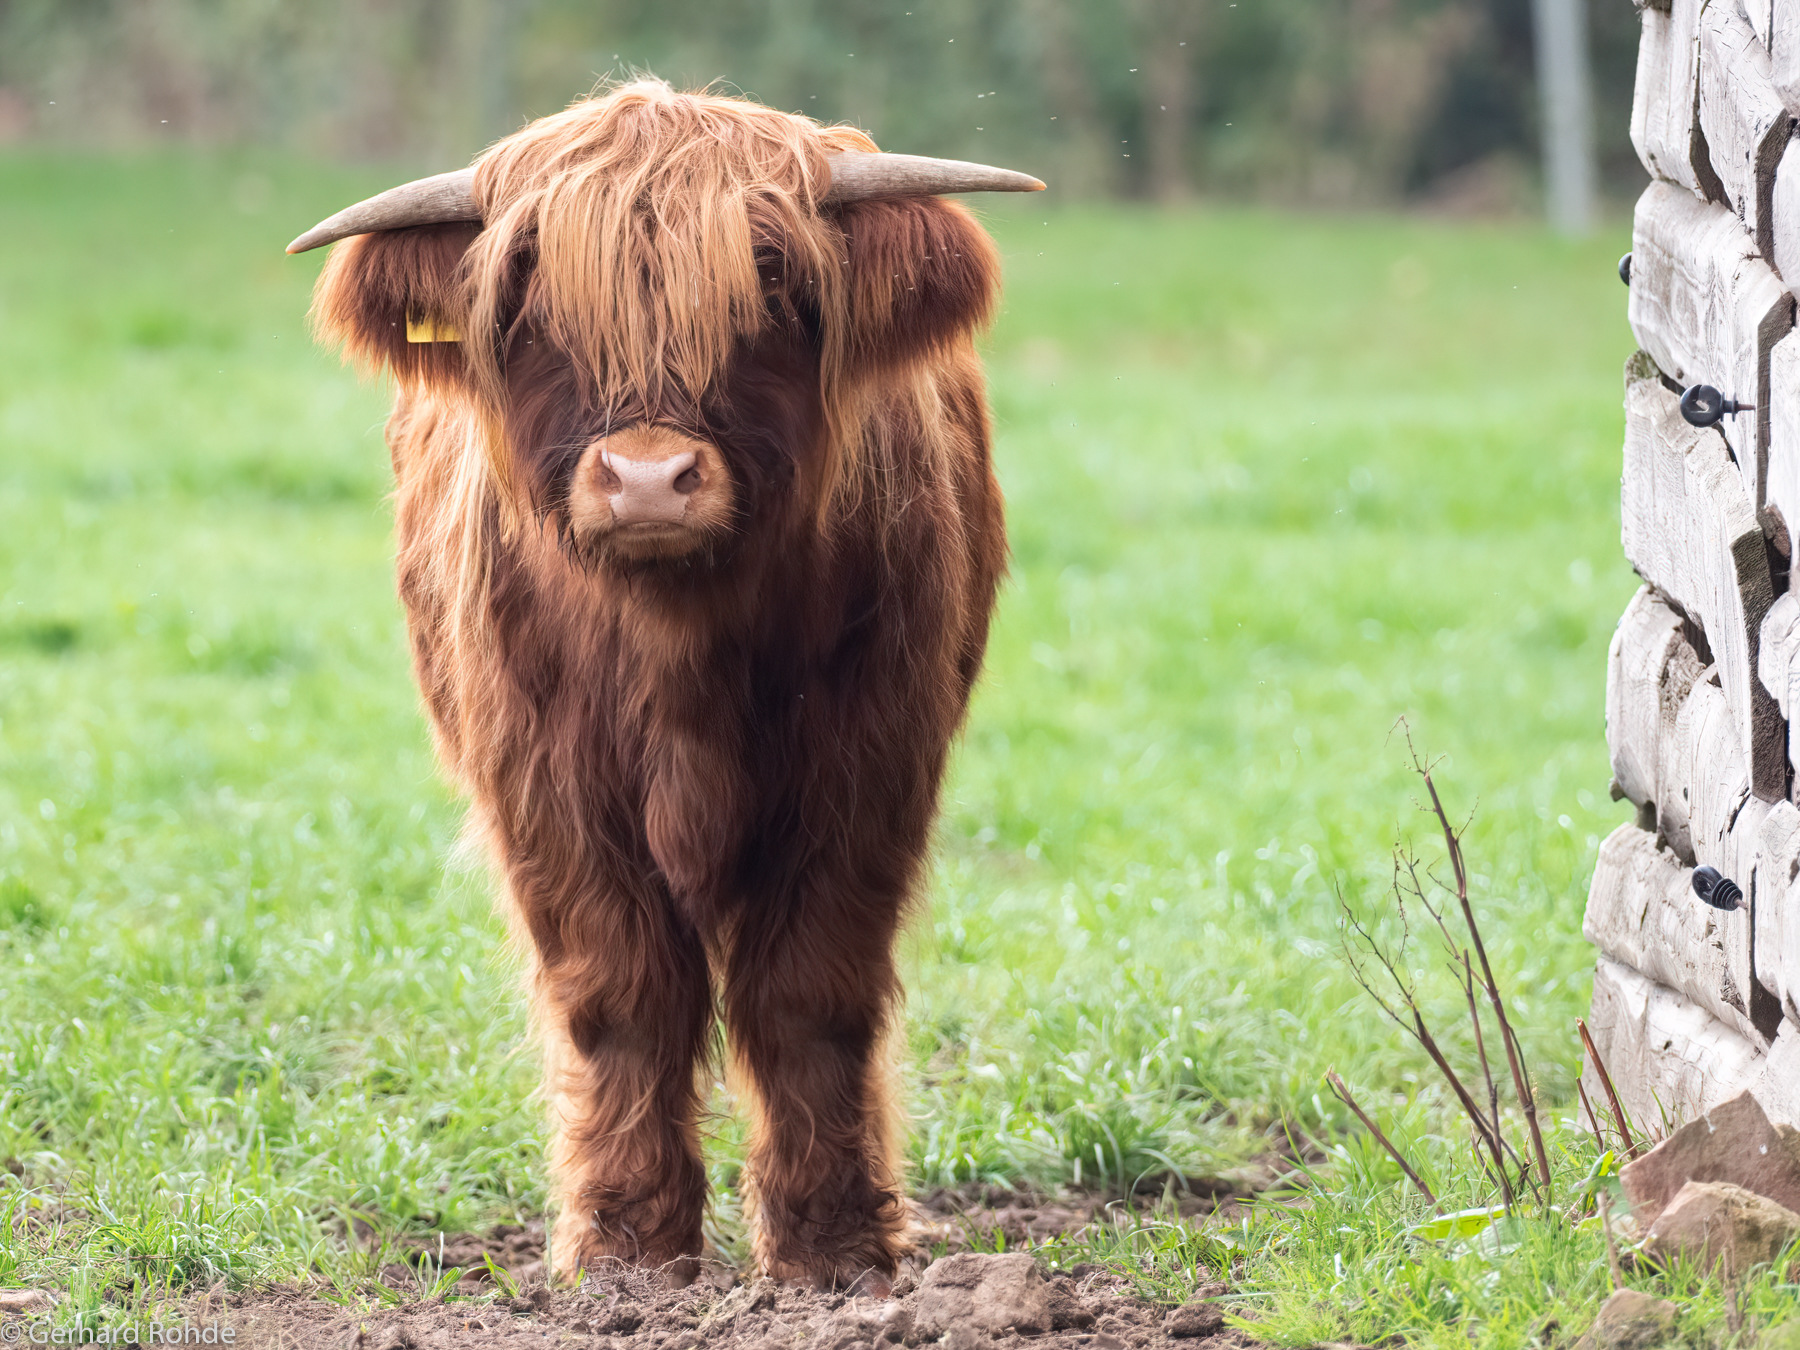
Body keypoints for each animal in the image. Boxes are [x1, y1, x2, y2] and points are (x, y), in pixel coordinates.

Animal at [288, 79, 1036, 1296]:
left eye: (770, 282)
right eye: (529, 296)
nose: (646, 480)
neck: (678, 643)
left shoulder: (870, 770)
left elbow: (809, 994)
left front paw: (832, 1254)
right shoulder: (544, 788)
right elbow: (622, 999)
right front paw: (629, 1256)